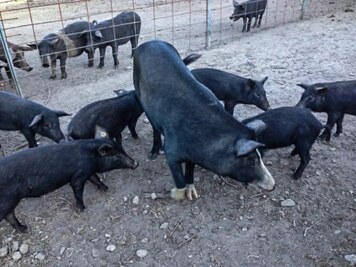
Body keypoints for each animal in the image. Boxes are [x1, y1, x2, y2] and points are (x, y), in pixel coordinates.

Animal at [0, 125, 138, 232]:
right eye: (116, 155)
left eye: (122, 150)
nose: (136, 163)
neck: (92, 156)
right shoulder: (79, 175)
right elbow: (78, 189)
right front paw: (82, 208)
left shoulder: (88, 171)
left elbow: (95, 179)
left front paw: (106, 188)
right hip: (8, 198)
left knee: (10, 215)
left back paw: (25, 229)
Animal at [132, 38, 274, 200]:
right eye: (250, 160)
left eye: (260, 155)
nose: (273, 185)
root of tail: (150, 42)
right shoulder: (172, 152)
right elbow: (179, 179)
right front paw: (175, 194)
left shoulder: (192, 155)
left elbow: (190, 170)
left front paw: (193, 195)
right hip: (139, 91)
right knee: (154, 126)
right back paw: (154, 154)